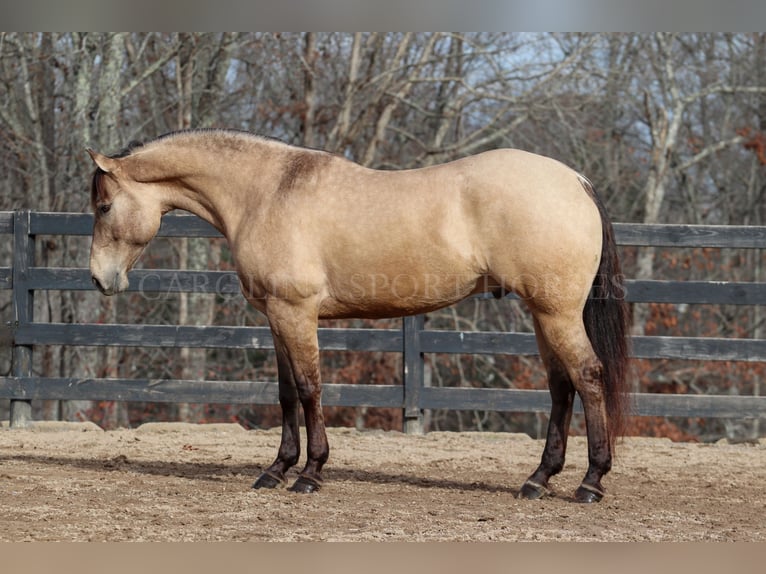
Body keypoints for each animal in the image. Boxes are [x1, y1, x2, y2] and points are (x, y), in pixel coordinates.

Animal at [88, 129, 632, 504]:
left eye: (104, 206)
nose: (99, 278)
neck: (266, 192)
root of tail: (576, 181)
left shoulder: (296, 313)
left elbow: (309, 388)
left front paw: (310, 474)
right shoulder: (275, 317)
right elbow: (286, 393)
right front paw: (276, 470)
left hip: (557, 312)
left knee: (588, 375)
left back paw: (590, 482)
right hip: (542, 313)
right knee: (561, 386)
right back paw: (538, 479)